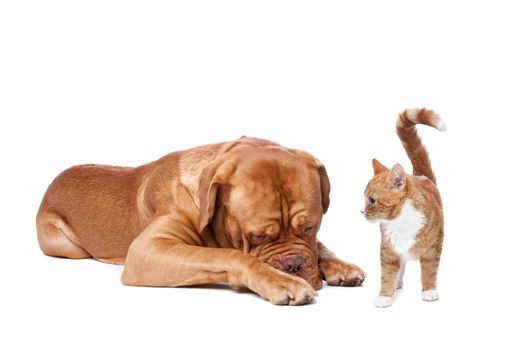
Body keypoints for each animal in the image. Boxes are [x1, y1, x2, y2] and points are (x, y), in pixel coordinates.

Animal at [36, 137, 364, 304]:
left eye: (310, 227)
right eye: (258, 236)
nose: (294, 265)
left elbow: (320, 247)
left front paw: (339, 265)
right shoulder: (147, 249)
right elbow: (231, 256)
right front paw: (282, 281)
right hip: (64, 244)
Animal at [360, 108, 446, 308]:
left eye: (371, 200)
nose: (361, 211)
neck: (401, 222)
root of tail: (420, 176)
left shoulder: (433, 249)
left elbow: (429, 270)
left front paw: (429, 290)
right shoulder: (388, 249)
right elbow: (387, 274)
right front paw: (384, 295)